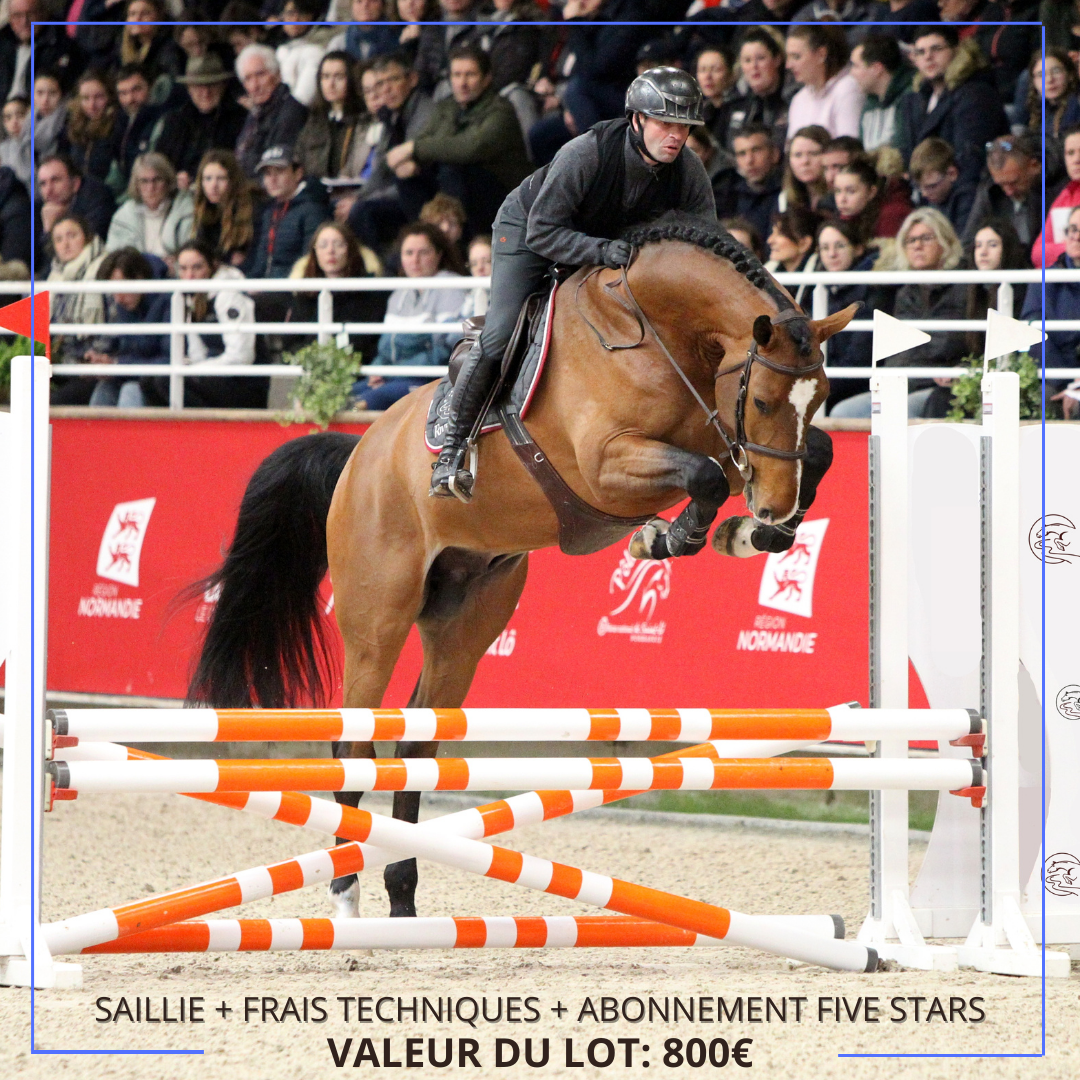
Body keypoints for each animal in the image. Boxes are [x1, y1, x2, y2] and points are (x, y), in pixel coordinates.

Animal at [188, 215, 859, 919]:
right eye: (763, 400)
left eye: (823, 395)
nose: (773, 505)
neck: (660, 333)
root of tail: (358, 455)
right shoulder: (608, 465)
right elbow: (703, 476)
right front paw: (666, 539)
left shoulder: (723, 444)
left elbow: (811, 452)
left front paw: (754, 533)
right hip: (378, 620)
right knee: (355, 745)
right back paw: (346, 895)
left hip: (466, 621)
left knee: (416, 745)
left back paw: (402, 901)